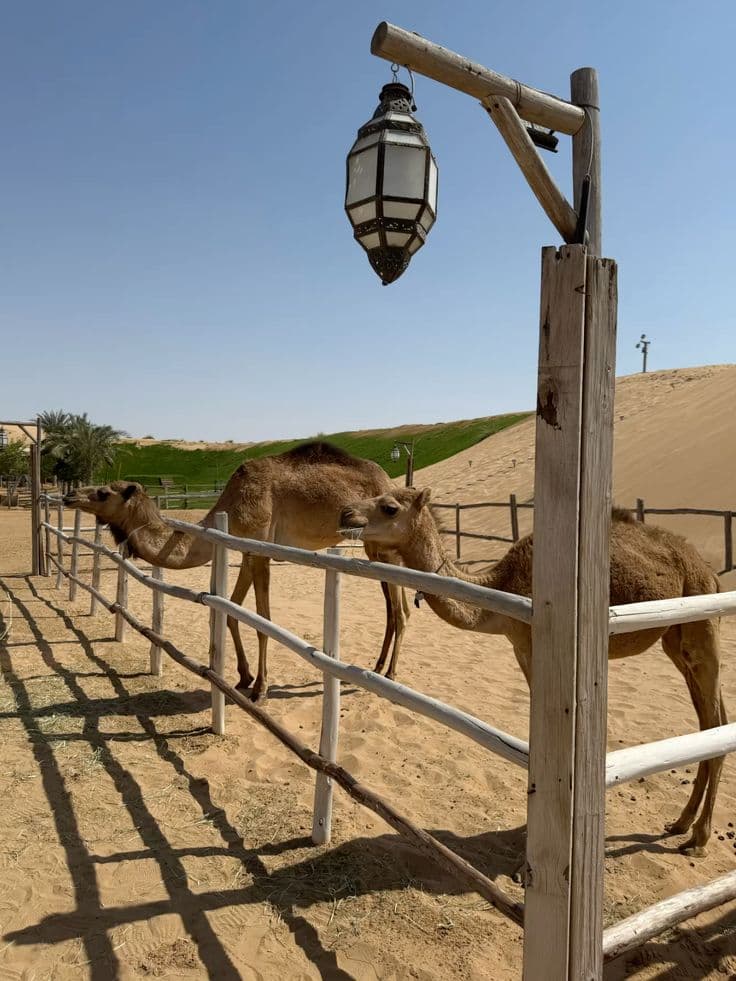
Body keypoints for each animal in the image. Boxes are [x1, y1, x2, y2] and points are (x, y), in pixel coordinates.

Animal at [63, 442, 410, 701]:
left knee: (400, 610)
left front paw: (261, 688)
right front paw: (244, 677)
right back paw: (377, 668)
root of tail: (392, 484)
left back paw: (390, 674)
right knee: (394, 607)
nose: (70, 495)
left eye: (104, 493)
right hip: (374, 546)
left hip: (382, 545)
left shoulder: (261, 547)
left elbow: (263, 622)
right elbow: (232, 612)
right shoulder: (245, 550)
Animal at [340, 486, 728, 856]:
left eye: (389, 507)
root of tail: (711, 573)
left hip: (701, 624)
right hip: (675, 638)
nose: (345, 513)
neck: (504, 586)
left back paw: (699, 837)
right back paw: (680, 822)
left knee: (717, 719)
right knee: (708, 722)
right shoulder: (520, 648)